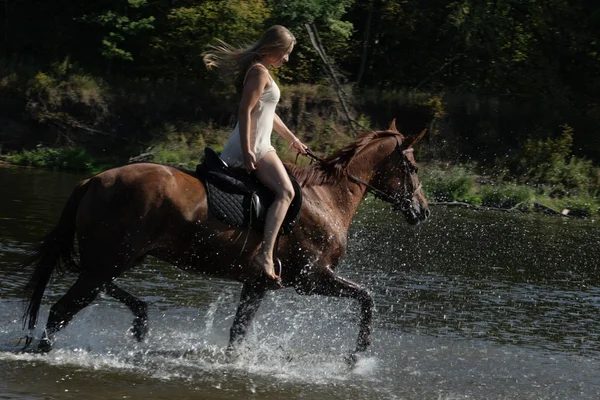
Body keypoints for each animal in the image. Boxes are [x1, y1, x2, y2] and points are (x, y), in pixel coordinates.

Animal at [21, 122, 428, 356]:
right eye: (413, 167)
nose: (422, 211)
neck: (327, 197)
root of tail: (92, 179)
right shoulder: (311, 279)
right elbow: (366, 298)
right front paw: (358, 356)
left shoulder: (258, 284)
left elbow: (238, 332)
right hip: (110, 259)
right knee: (61, 312)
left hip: (116, 258)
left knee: (101, 290)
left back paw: (140, 322)